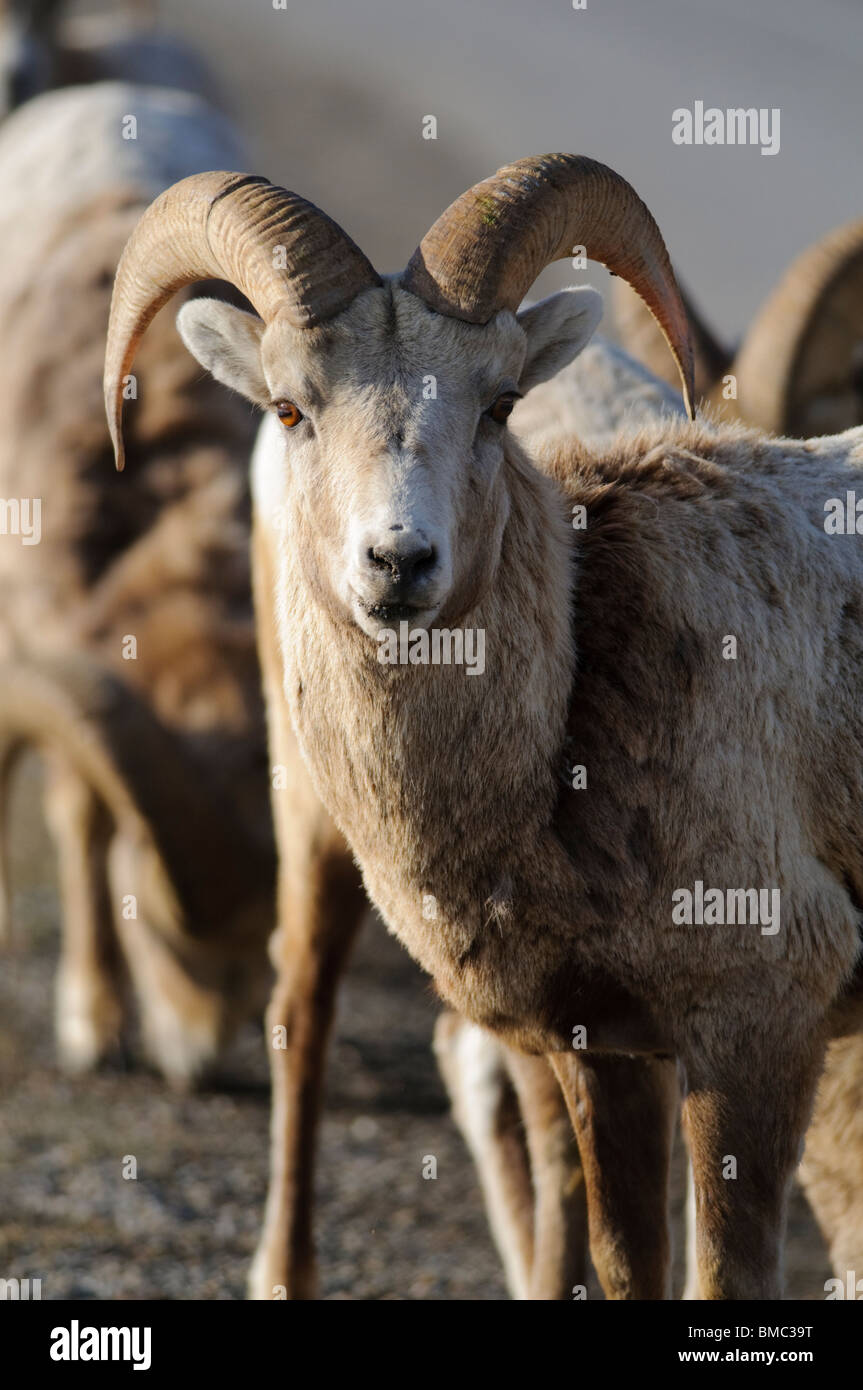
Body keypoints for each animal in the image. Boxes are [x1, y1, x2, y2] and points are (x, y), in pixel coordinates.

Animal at [104, 157, 861, 1295]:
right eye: (289, 407)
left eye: (499, 404)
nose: (398, 562)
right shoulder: (615, 1051)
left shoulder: (742, 1040)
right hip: (308, 825)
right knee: (301, 1006)